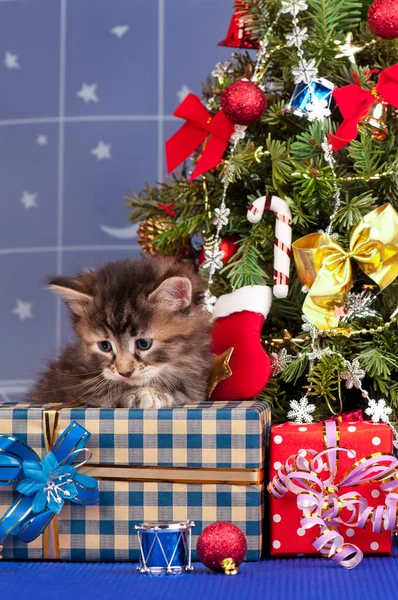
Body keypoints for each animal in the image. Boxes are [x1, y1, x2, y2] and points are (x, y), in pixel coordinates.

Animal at [28, 255, 215, 410]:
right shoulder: (72, 381)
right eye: (105, 346)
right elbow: (102, 390)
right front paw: (142, 394)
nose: (124, 372)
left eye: (144, 343)